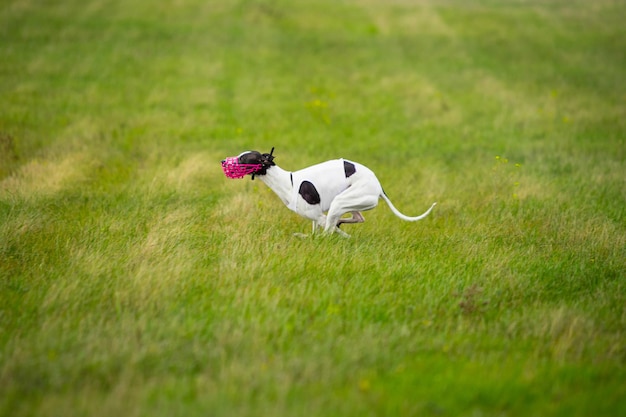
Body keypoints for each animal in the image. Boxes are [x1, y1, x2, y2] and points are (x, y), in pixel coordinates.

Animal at [222, 148, 436, 236]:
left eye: (243, 159)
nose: (223, 161)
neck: (287, 182)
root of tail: (379, 186)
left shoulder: (320, 217)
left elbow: (325, 232)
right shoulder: (315, 218)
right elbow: (318, 230)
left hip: (341, 201)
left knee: (333, 227)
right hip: (349, 201)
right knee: (358, 217)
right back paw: (341, 222)